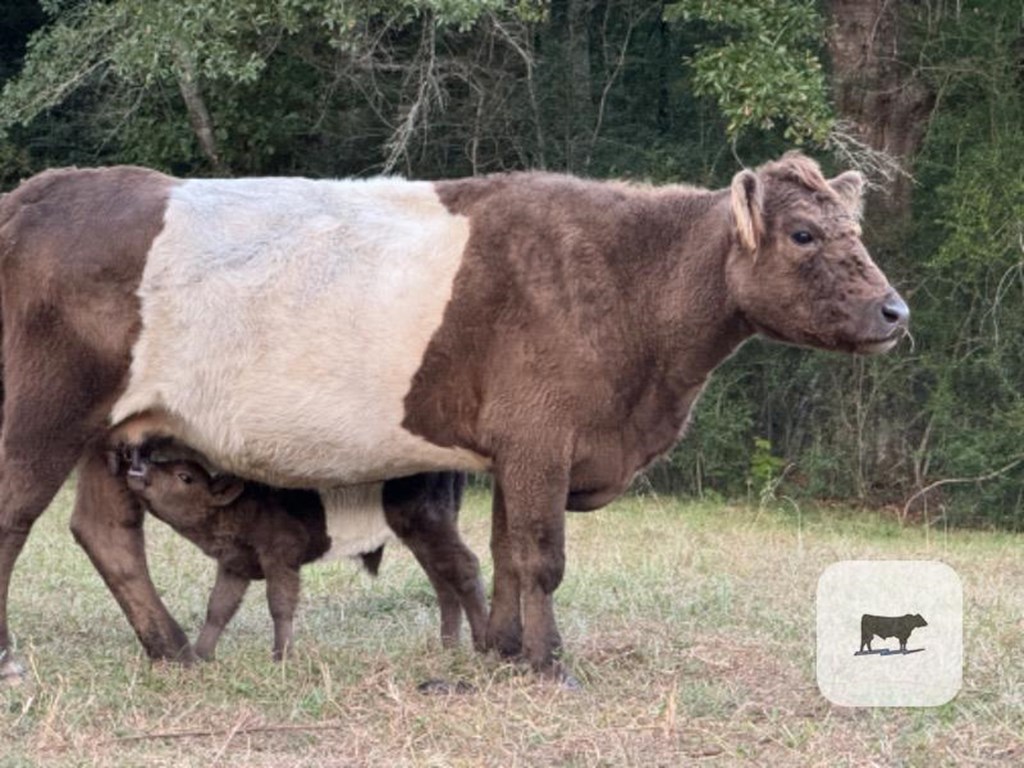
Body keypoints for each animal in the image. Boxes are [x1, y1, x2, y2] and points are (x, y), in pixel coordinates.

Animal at [0, 153, 913, 684]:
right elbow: (540, 556)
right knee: (16, 514)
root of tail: (47, 189)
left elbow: (505, 553)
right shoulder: (542, 433)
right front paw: (548, 666)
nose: (894, 310)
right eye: (804, 234)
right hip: (42, 407)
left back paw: (175, 651)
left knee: (107, 533)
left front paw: (501, 653)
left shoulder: (519, 447)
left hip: (114, 430)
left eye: (853, 228)